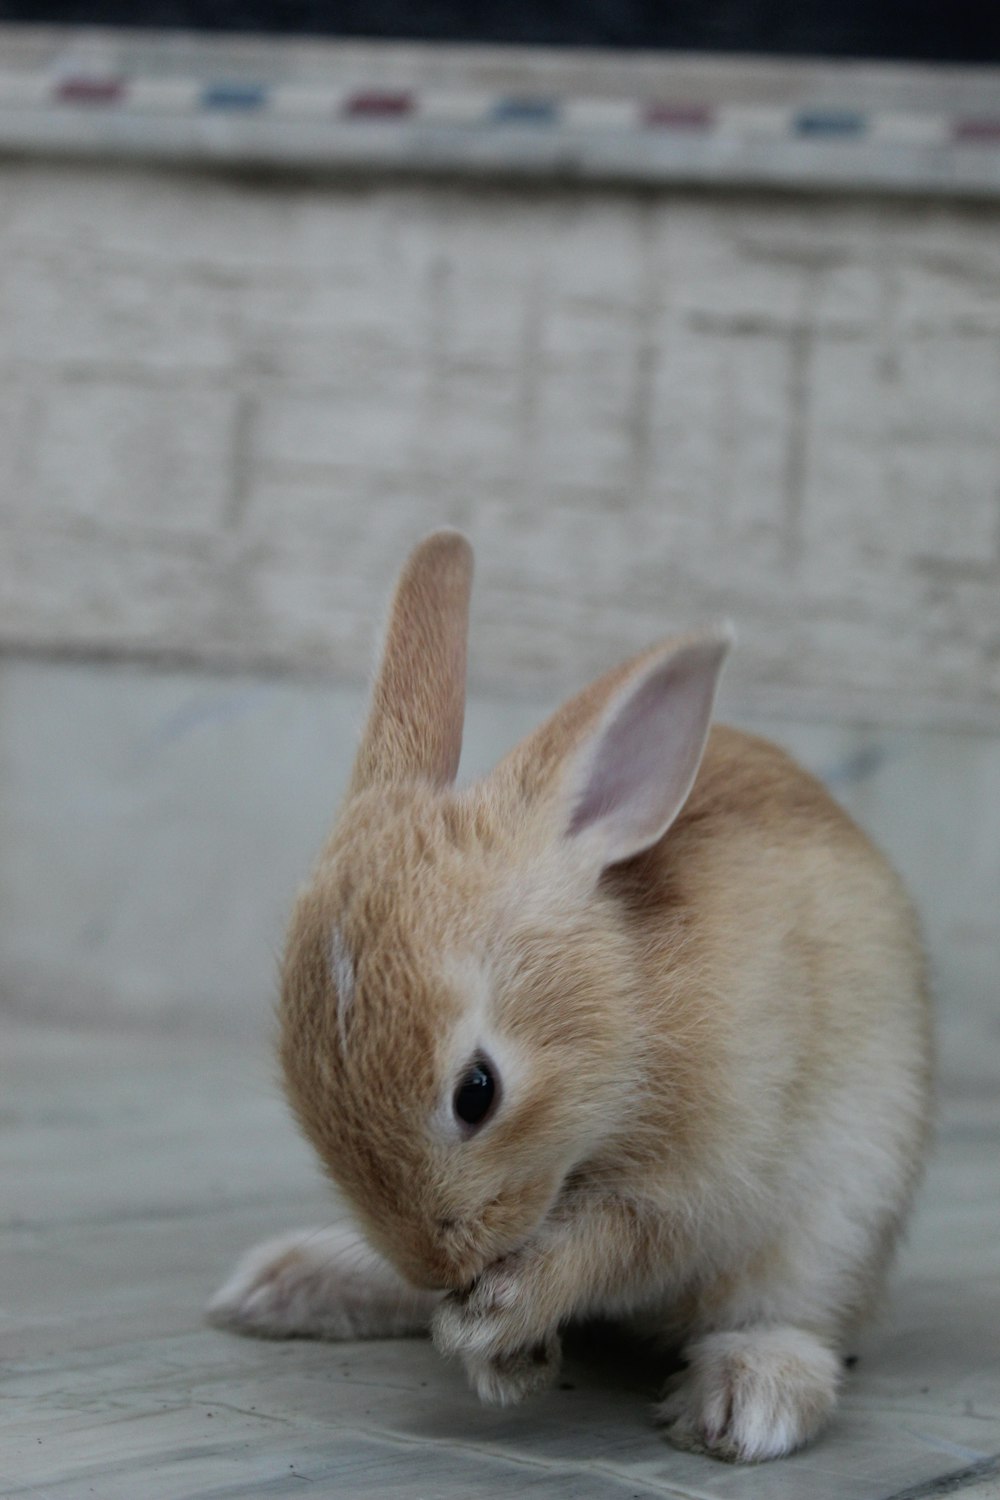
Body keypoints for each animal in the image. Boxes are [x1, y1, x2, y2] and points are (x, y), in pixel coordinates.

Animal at [206, 534, 935, 1458]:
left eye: (477, 1092)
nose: (440, 1264)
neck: (622, 1007)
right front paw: (501, 1360)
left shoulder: (696, 1183)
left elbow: (616, 1244)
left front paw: (494, 1327)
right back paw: (287, 1284)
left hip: (843, 1209)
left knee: (797, 1315)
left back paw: (747, 1401)